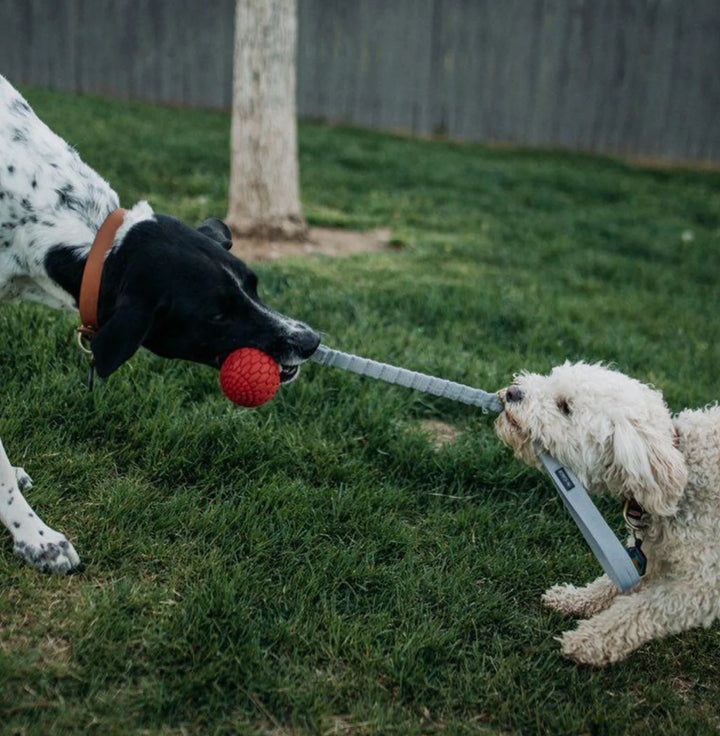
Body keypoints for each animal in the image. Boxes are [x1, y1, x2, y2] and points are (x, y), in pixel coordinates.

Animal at [496, 362, 720, 668]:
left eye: (565, 406)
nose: (513, 392)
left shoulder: (701, 586)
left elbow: (639, 610)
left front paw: (588, 640)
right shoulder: (652, 556)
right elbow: (610, 584)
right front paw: (573, 599)